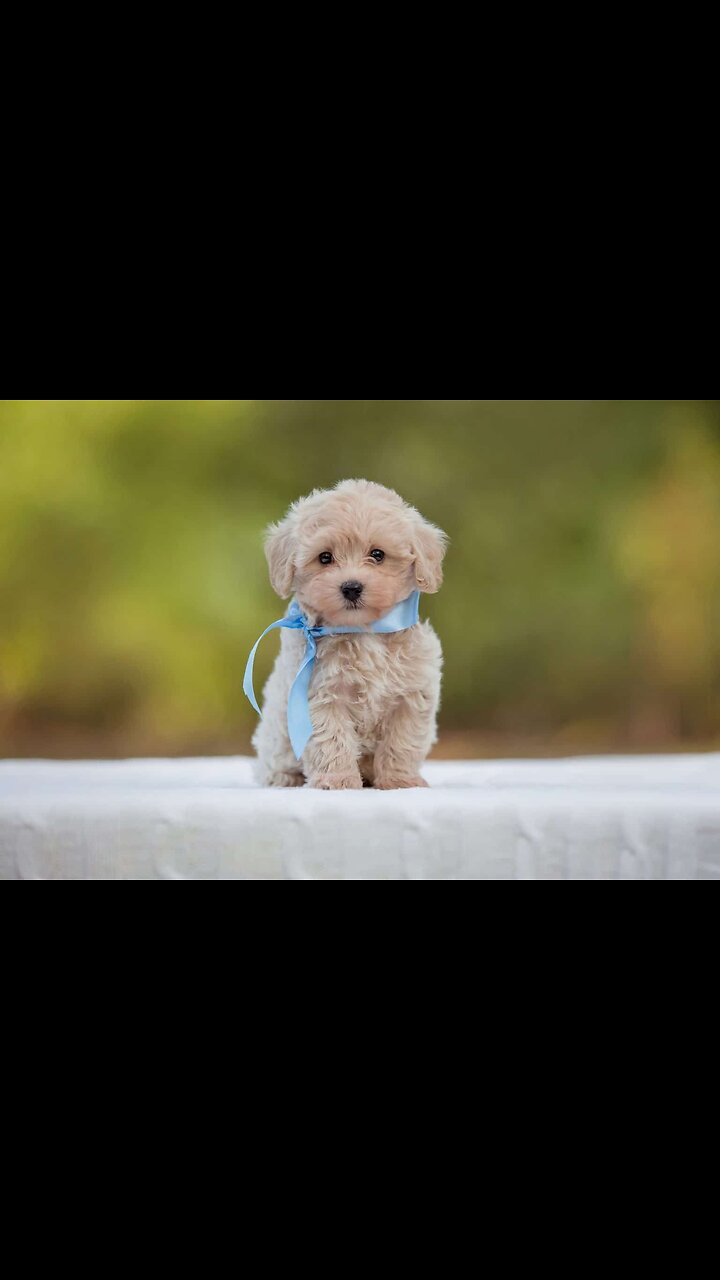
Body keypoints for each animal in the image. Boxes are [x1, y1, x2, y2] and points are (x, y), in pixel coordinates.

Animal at [249, 481, 445, 788]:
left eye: (377, 554)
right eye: (325, 558)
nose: (351, 587)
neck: (364, 631)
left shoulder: (411, 698)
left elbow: (401, 743)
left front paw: (400, 780)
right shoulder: (323, 696)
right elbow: (332, 741)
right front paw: (338, 780)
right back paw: (286, 778)